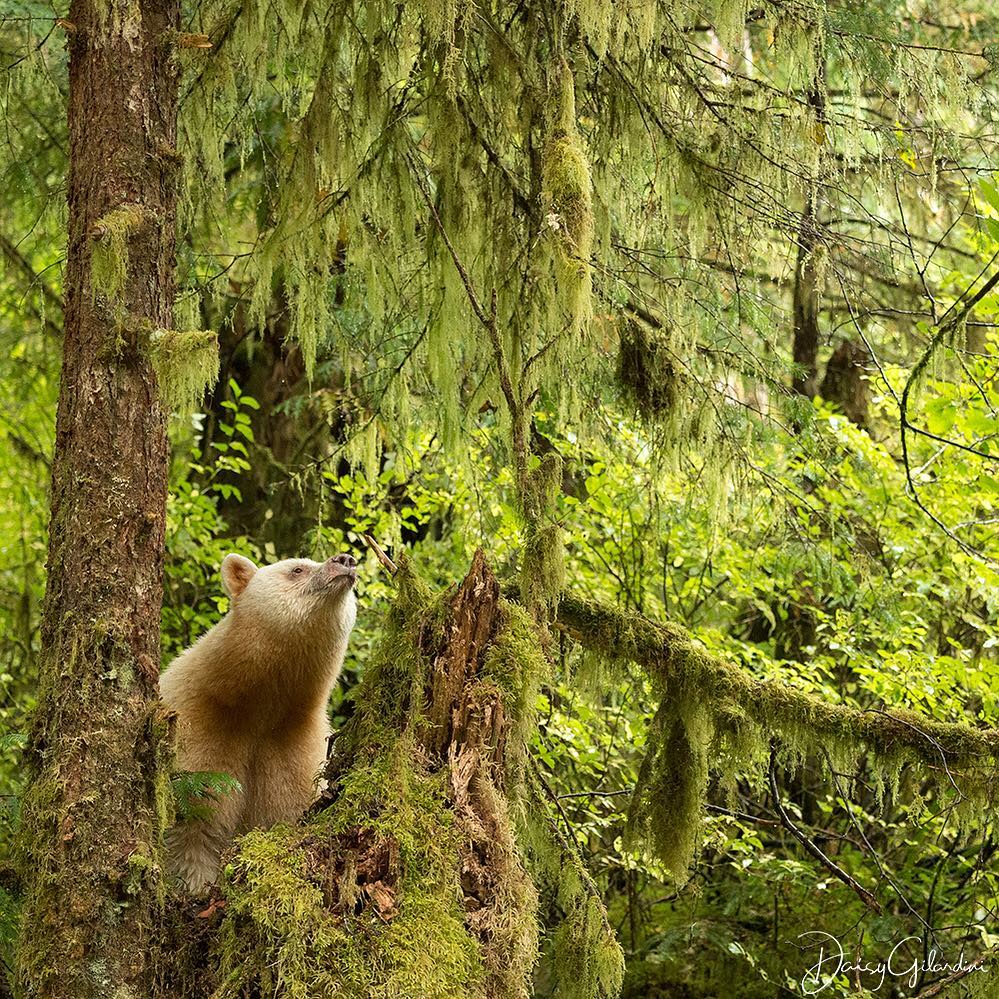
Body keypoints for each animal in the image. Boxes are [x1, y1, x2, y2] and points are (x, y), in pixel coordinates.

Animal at [158, 556, 358, 892]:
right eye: (297, 569)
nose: (345, 561)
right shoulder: (199, 724)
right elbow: (195, 823)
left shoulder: (292, 744)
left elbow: (287, 808)